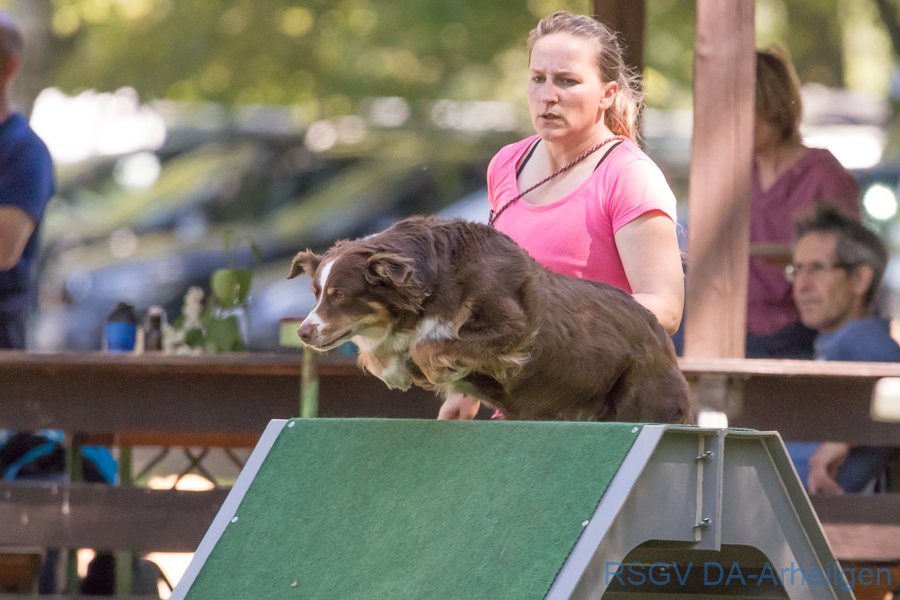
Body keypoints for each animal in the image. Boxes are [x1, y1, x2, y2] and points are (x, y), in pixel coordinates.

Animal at [288, 216, 691, 423]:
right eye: (316, 292)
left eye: (340, 294)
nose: (304, 333)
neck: (437, 278)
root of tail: (661, 338)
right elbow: (384, 353)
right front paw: (395, 370)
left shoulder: (513, 329)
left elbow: (429, 346)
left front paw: (432, 368)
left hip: (644, 399)